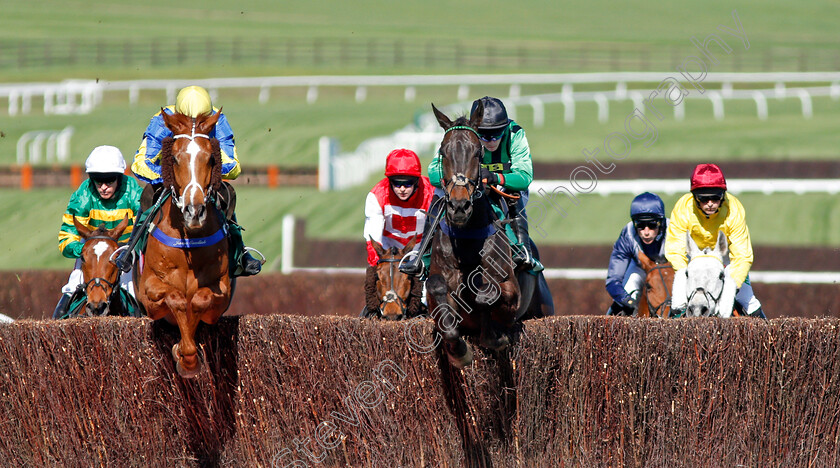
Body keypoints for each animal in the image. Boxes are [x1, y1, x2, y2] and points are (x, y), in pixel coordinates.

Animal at [135, 111, 233, 378]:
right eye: (175, 158)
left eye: (211, 158)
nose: (194, 211)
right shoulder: (147, 292)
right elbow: (176, 297)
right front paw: (184, 353)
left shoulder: (222, 293)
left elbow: (200, 299)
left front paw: (187, 355)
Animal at [426, 102, 524, 370]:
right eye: (443, 151)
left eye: (477, 153)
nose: (459, 206)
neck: (468, 241)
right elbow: (437, 288)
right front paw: (459, 352)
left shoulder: (512, 295)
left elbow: (486, 295)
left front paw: (495, 337)